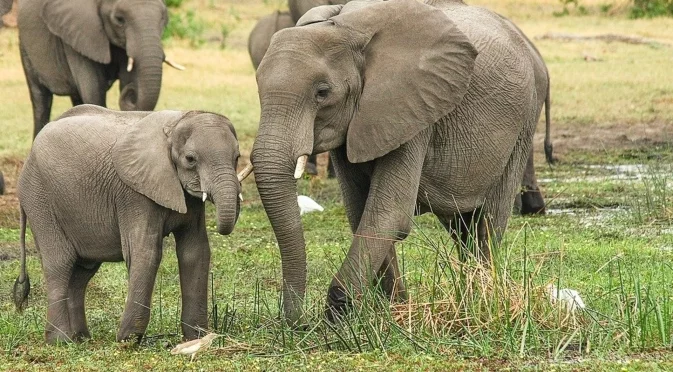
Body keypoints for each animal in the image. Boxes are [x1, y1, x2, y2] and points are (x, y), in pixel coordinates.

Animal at [13, 104, 252, 342]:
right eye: (190, 159)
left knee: (82, 272)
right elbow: (146, 252)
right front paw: (127, 340)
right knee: (60, 263)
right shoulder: (133, 193)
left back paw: (81, 339)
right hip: (39, 198)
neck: (175, 125)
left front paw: (197, 338)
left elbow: (195, 252)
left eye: (237, 157)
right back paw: (60, 340)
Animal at [17, 0, 184, 138]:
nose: (131, 92)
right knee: (41, 99)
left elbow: (126, 79)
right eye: (119, 19)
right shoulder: (80, 34)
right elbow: (93, 91)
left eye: (163, 18)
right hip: (25, 46)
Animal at [251, 0, 552, 326]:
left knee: (488, 220)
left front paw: (338, 317)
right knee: (462, 225)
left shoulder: (412, 109)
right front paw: (393, 309)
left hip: (523, 122)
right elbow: (360, 212)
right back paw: (469, 295)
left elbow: (388, 214)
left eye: (322, 92)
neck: (346, 30)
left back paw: (482, 299)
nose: (297, 322)